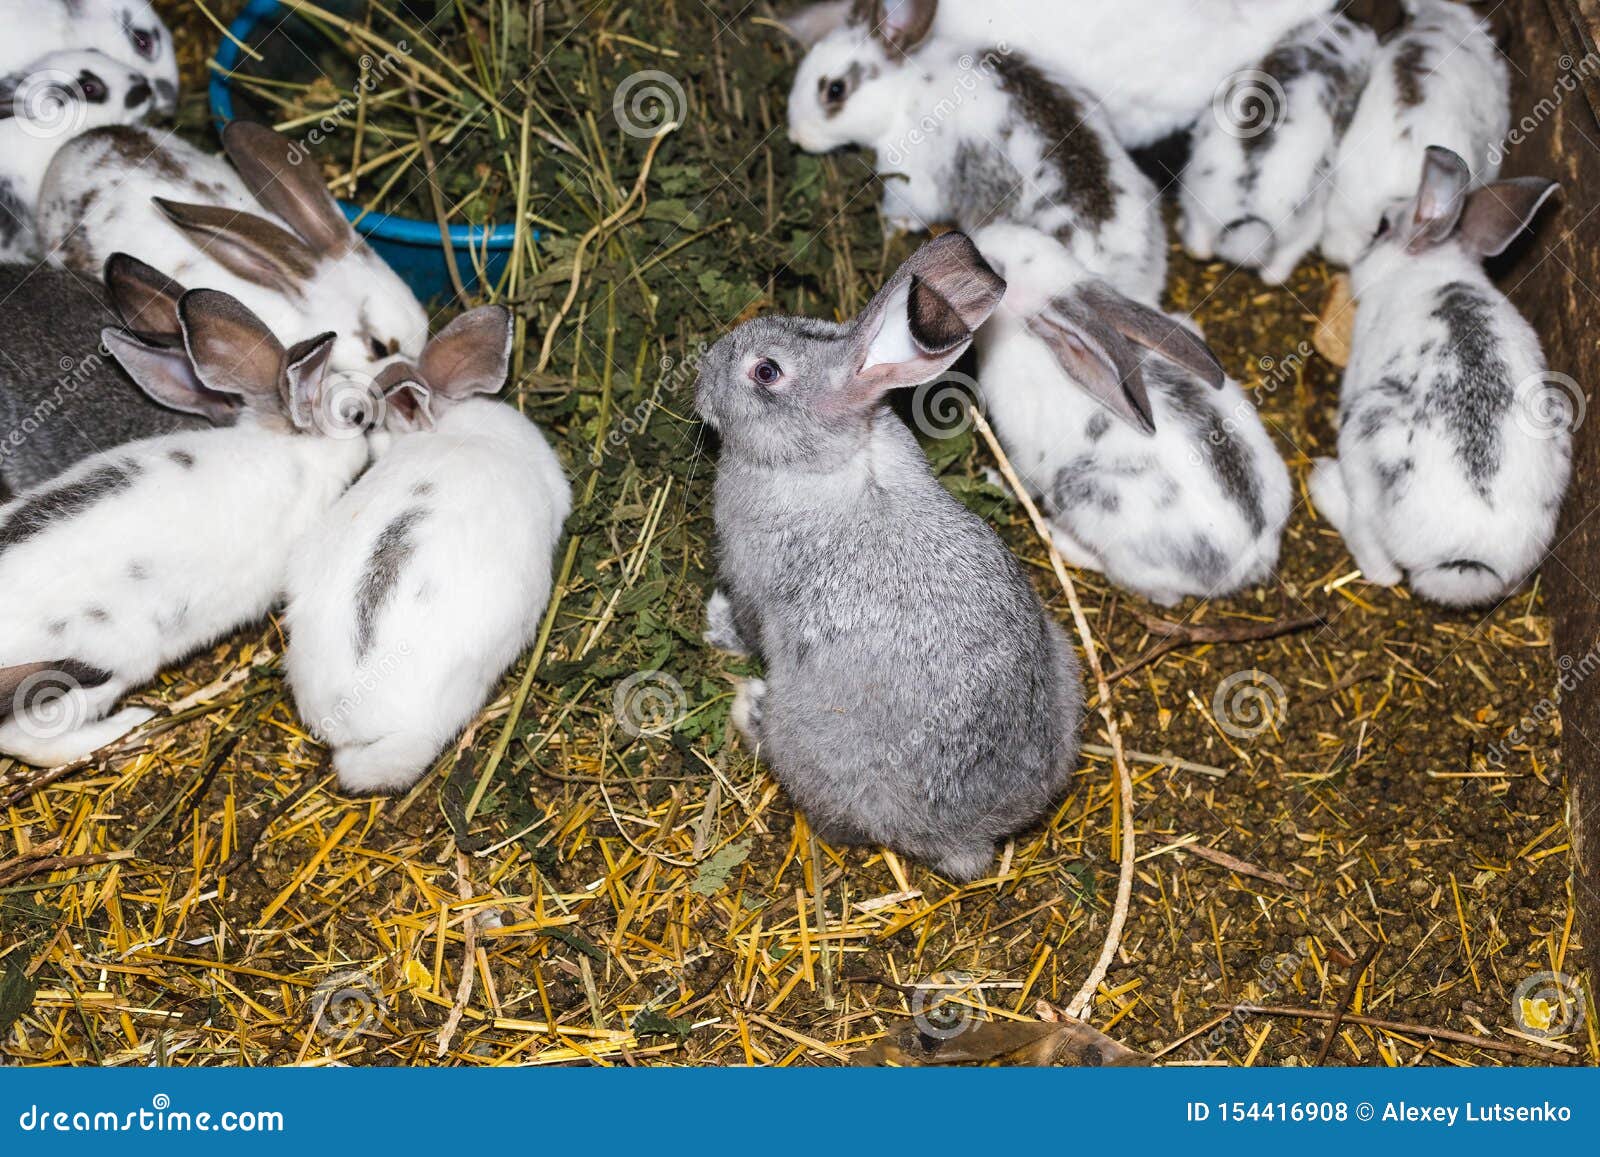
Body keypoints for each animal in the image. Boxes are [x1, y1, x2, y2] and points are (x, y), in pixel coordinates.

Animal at [0, 287, 371, 767]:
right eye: (358, 416)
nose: (368, 434)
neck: (291, 446)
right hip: (96, 668)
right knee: (25, 737)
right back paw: (133, 724)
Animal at [697, 232, 1082, 883]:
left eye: (766, 372)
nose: (700, 378)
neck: (831, 457)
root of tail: (969, 835)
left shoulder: (754, 584)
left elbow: (747, 627)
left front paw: (715, 625)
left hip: (809, 738)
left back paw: (750, 708)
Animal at [973, 223, 1292, 606]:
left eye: (997, 270)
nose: (976, 236)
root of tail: (1250, 560)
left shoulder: (1022, 450)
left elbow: (1016, 480)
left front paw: (992, 478)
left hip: (1088, 498)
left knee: (1155, 592)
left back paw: (1061, 540)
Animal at [1180, 15, 1377, 284]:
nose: (1367, 31)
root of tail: (1247, 212)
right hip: (1306, 226)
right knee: (1277, 269)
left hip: (1195, 196)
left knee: (1199, 246)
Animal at [1309, 147, 1566, 607]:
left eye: (1382, 226)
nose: (1360, 253)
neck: (1430, 264)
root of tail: (1466, 558)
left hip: (1364, 436)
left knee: (1380, 567)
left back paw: (1322, 481)